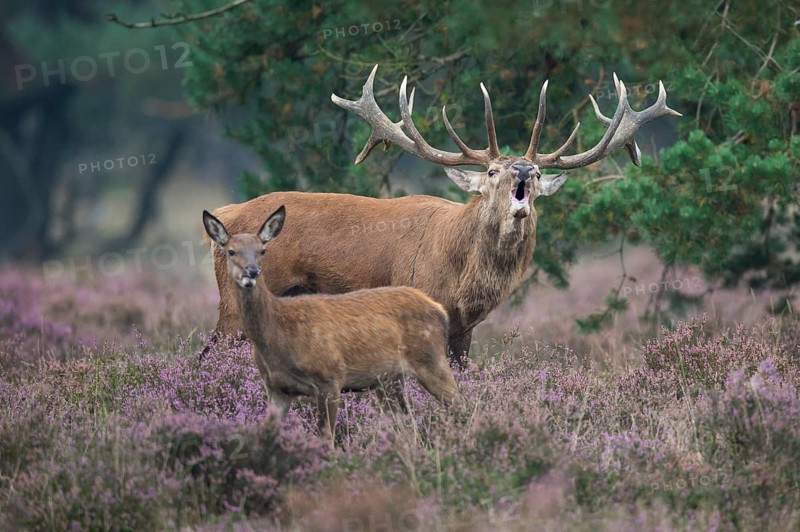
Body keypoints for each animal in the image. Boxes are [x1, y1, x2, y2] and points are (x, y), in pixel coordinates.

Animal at [202, 206, 458, 447]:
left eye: (262, 250)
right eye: (231, 251)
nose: (252, 272)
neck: (279, 336)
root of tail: (439, 309)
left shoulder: (330, 379)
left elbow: (326, 438)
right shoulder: (275, 388)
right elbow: (267, 434)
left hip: (431, 360)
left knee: (459, 402)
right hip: (389, 380)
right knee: (407, 423)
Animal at [203, 65, 680, 364]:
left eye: (540, 173)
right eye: (492, 171)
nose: (524, 170)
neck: (460, 280)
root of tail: (224, 215)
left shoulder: (463, 330)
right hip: (235, 300)